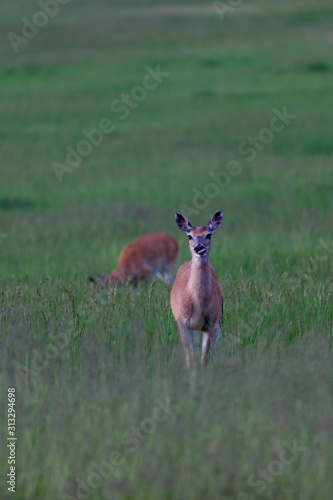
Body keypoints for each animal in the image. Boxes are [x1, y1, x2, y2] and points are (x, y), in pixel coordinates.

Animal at [170, 209, 222, 370]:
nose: (199, 248)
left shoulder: (210, 323)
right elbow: (190, 357)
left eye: (209, 234)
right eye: (189, 236)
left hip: (217, 322)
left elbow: (204, 357)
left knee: (214, 348)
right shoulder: (182, 321)